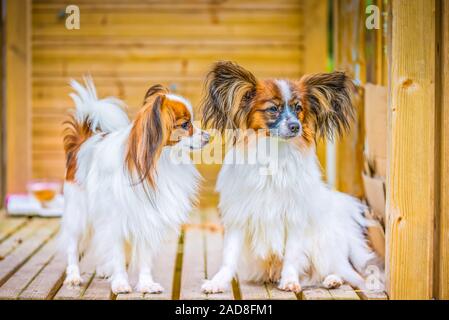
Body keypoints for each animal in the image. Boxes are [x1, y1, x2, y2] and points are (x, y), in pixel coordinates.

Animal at [201, 61, 376, 294]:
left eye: (298, 108)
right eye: (273, 109)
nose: (295, 126)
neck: (274, 153)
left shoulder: (294, 217)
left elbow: (292, 254)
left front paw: (290, 280)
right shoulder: (240, 216)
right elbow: (229, 257)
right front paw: (218, 282)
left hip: (322, 245)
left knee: (340, 269)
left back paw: (332, 279)